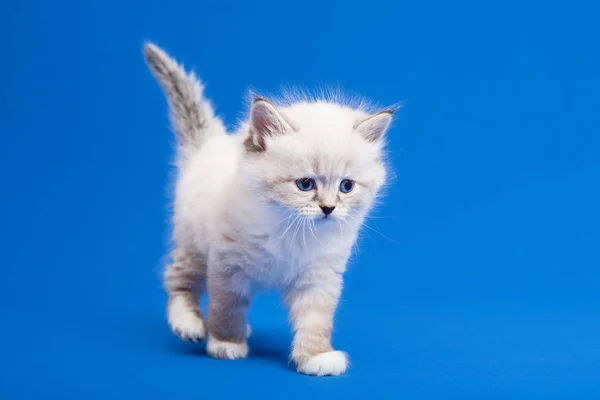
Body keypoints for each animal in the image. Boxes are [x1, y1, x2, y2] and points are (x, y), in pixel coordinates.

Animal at [144, 43, 394, 376]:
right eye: (305, 184)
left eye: (346, 187)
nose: (328, 208)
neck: (293, 232)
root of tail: (210, 144)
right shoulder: (228, 264)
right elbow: (227, 307)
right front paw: (226, 342)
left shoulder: (320, 275)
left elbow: (315, 321)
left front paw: (316, 357)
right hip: (193, 244)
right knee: (178, 279)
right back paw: (191, 324)